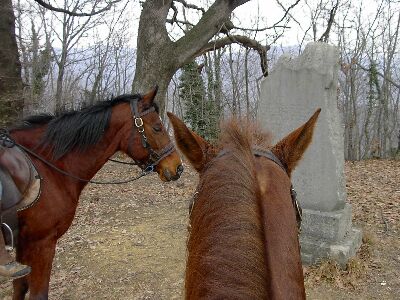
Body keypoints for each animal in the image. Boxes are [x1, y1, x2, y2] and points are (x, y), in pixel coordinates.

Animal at [6, 86, 182, 298]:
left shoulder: (24, 242)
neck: (46, 165)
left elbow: (19, 286)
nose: (178, 167)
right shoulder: (42, 243)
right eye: (157, 127)